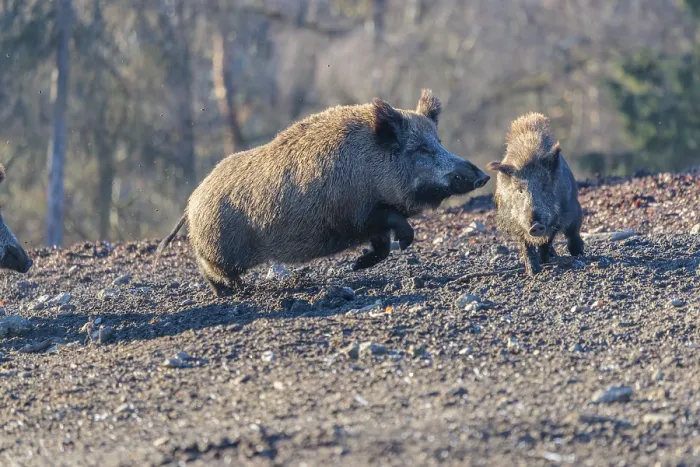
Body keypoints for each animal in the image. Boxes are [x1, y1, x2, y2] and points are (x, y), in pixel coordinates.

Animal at [157, 89, 490, 296]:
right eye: (421, 149)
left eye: (439, 142)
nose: (484, 176)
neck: (371, 166)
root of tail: (192, 201)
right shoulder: (359, 213)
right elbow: (396, 225)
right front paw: (400, 246)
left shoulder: (370, 221)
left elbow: (382, 245)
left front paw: (358, 265)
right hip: (219, 247)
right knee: (209, 268)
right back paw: (237, 291)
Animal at [487, 112, 584, 275]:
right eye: (520, 191)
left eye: (544, 187)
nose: (536, 224)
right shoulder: (515, 221)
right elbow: (526, 245)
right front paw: (533, 271)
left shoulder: (563, 214)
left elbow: (549, 239)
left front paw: (544, 261)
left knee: (572, 234)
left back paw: (578, 253)